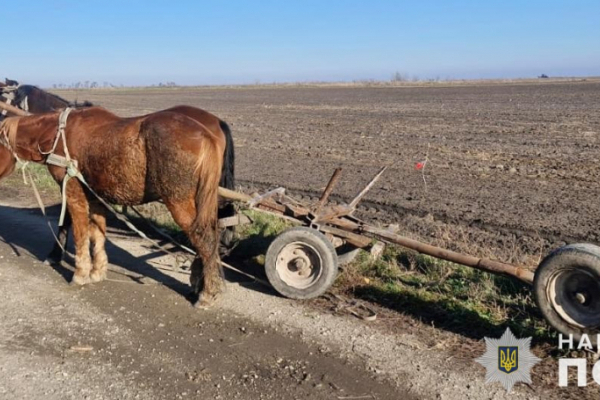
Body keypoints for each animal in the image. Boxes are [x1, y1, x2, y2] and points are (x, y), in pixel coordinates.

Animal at [0, 81, 237, 262]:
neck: (59, 131)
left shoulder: (67, 181)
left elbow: (66, 218)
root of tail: (214, 122)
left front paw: (56, 254)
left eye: (3, 103)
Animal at [1, 106, 225, 306]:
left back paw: (206, 294)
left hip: (178, 201)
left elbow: (79, 232)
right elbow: (97, 233)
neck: (57, 135)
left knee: (204, 239)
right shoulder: (95, 196)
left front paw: (80, 273)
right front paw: (97, 271)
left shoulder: (73, 192)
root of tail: (206, 135)